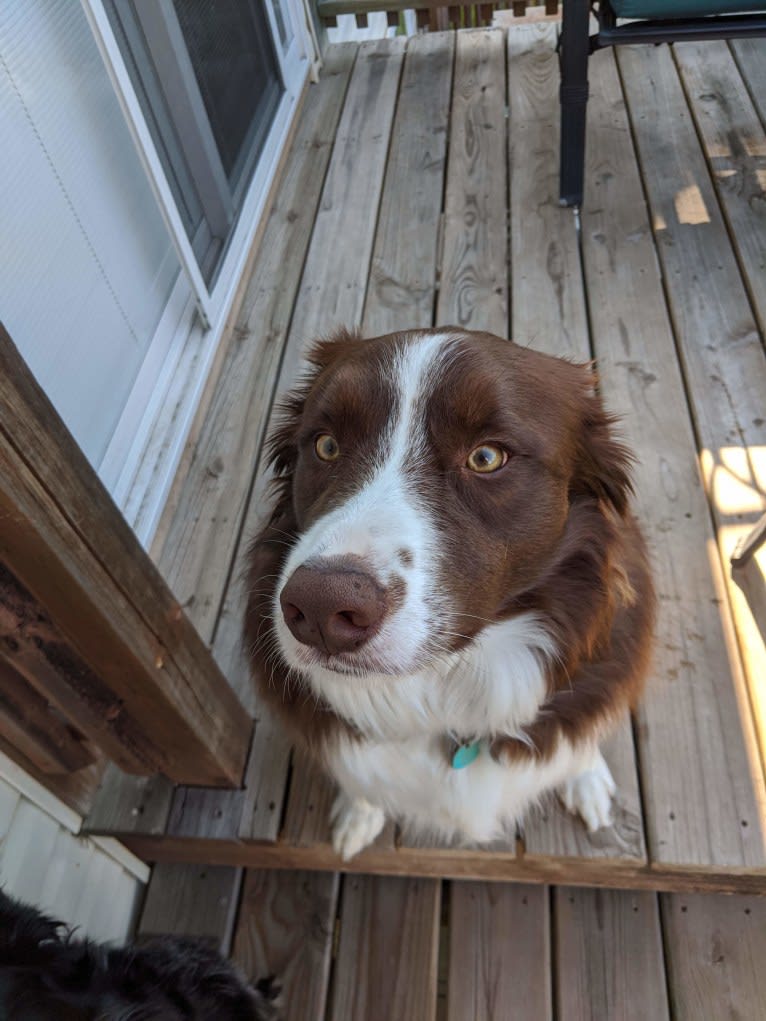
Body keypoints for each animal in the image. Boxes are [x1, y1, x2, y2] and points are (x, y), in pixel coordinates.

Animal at [244, 330, 653, 857]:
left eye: (486, 457)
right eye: (326, 445)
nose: (319, 607)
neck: (449, 685)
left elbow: (578, 745)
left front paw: (585, 776)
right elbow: (363, 782)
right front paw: (359, 813)